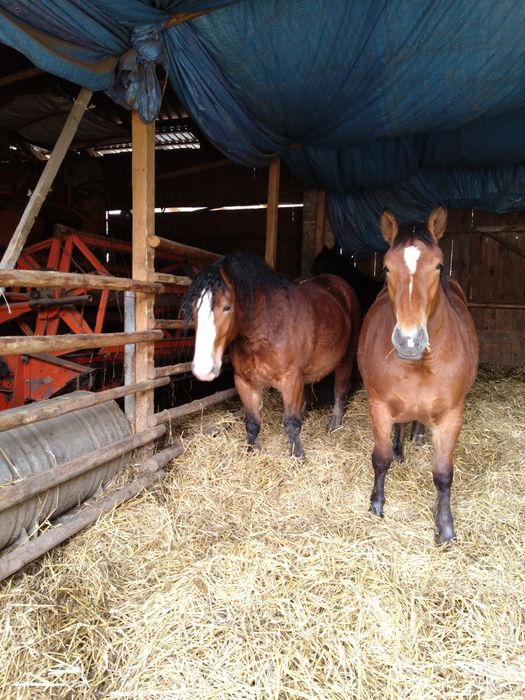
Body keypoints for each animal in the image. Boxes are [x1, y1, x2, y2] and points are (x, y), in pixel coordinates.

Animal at [183, 252, 360, 460]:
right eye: (194, 308)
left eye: (227, 307)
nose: (203, 369)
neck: (265, 330)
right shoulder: (245, 382)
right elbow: (252, 423)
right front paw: (252, 451)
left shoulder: (291, 380)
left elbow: (291, 423)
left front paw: (297, 456)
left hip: (345, 358)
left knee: (340, 389)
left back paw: (334, 424)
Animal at [358, 205, 476, 544]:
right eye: (386, 268)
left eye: (438, 265)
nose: (409, 341)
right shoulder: (379, 407)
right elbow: (380, 457)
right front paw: (376, 505)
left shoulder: (451, 415)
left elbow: (443, 474)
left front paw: (445, 528)